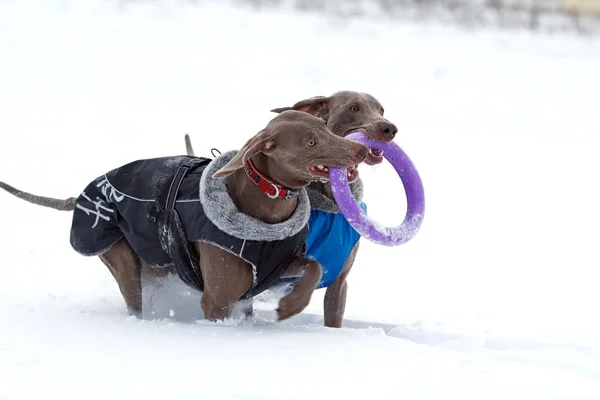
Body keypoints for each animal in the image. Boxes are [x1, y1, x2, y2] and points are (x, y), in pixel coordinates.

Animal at [1, 111, 370, 324]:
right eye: (311, 142)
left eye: (325, 127)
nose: (362, 149)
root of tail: (78, 197)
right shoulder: (218, 300)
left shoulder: (274, 265)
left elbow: (315, 266)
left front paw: (292, 304)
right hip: (123, 260)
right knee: (134, 300)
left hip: (156, 265)